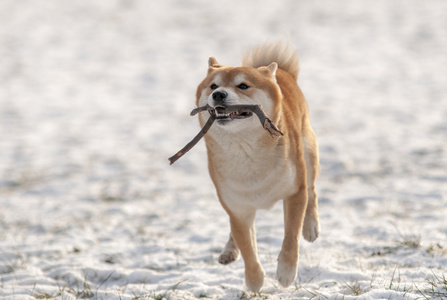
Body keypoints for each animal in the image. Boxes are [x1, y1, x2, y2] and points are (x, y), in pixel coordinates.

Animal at [197, 39, 322, 290]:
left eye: (243, 86)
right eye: (213, 85)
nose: (218, 94)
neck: (246, 152)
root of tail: (280, 71)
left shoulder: (295, 192)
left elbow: (291, 235)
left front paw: (286, 272)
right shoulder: (237, 208)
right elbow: (247, 247)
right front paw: (254, 281)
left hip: (308, 153)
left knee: (312, 191)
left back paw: (311, 226)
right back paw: (229, 251)